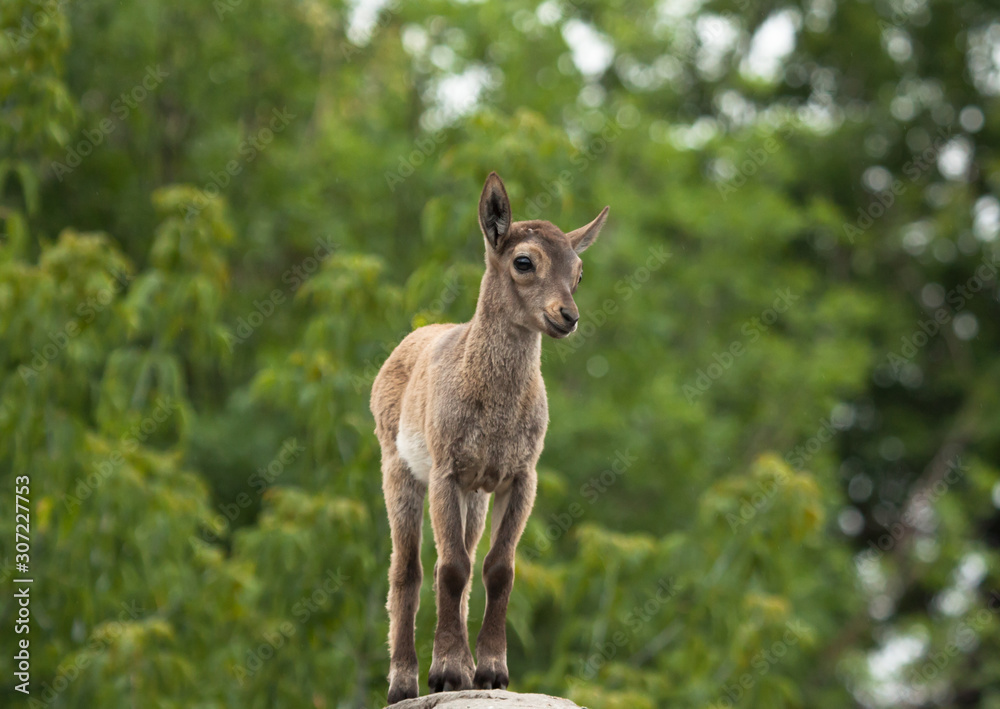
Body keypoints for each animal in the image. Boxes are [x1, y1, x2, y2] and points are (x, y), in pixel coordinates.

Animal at [370, 172, 609, 702]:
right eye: (524, 261)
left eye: (580, 271)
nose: (567, 316)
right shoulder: (445, 471)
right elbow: (451, 568)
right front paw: (445, 672)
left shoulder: (518, 476)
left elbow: (498, 569)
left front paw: (491, 671)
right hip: (399, 471)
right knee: (409, 567)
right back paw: (404, 681)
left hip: (475, 496)